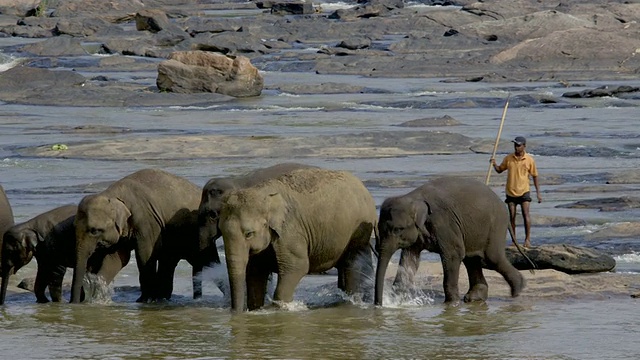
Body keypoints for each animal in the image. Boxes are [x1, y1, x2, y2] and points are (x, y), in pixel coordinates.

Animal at [0, 205, 130, 304]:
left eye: (10, 251)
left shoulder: (53, 244)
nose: (2, 305)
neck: (28, 225)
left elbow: (55, 271)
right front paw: (44, 302)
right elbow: (43, 271)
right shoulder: (43, 251)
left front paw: (57, 302)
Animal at [71, 169, 210, 304]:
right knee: (168, 260)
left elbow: (145, 254)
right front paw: (98, 292)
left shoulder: (147, 221)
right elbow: (117, 259)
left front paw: (146, 300)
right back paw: (162, 298)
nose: (75, 303)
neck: (113, 194)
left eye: (94, 231)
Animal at [376, 176, 524, 306]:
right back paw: (475, 298)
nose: (379, 305)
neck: (413, 197)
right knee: (472, 260)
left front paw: (451, 304)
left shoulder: (444, 224)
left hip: (495, 226)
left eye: (398, 229)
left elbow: (453, 255)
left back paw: (518, 290)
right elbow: (409, 260)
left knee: (492, 259)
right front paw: (397, 301)